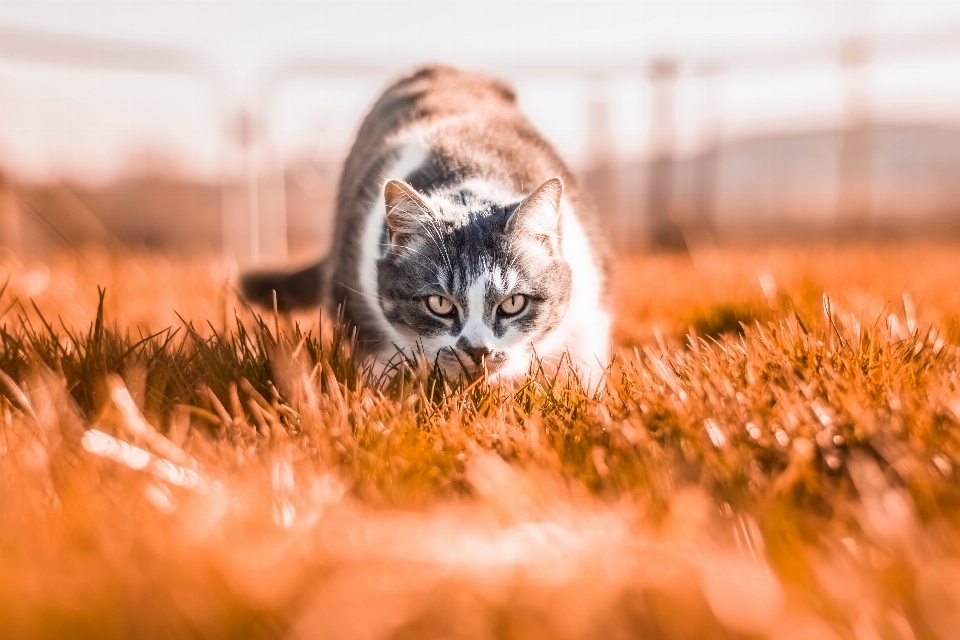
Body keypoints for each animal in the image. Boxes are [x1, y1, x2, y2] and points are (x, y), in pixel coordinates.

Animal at [244, 65, 612, 384]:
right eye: (439, 304)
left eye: (513, 304)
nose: (477, 350)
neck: (467, 168)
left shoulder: (589, 303)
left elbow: (585, 366)